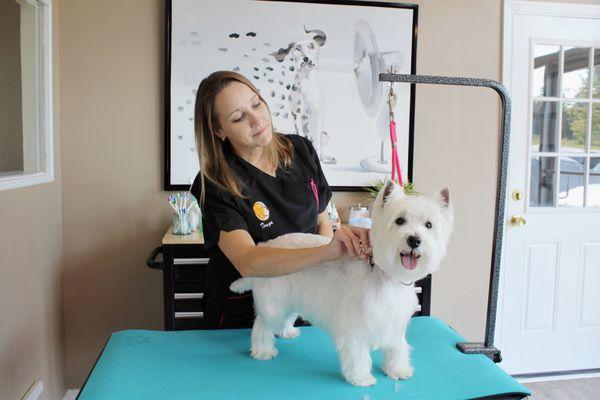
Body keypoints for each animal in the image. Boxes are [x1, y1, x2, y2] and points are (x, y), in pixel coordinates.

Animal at [231, 180, 454, 384]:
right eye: (399, 221)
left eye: (429, 225)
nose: (414, 240)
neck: (386, 276)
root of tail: (266, 245)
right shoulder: (354, 324)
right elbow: (358, 353)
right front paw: (361, 377)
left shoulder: (394, 320)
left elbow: (397, 346)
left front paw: (397, 369)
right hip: (275, 300)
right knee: (262, 324)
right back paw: (262, 350)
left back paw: (287, 332)